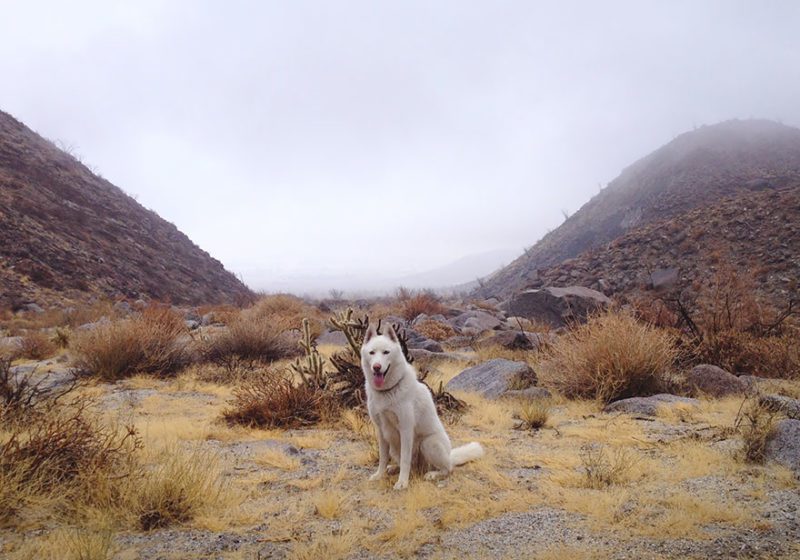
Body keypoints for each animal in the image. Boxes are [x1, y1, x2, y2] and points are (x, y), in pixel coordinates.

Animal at [360, 322, 484, 488]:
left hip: (428, 443)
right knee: (408, 464)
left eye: (386, 352)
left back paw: (433, 474)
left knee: (447, 468)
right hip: (395, 447)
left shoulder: (406, 429)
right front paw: (380, 475)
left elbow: (405, 460)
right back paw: (393, 468)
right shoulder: (381, 430)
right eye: (372, 353)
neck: (387, 391)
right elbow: (383, 458)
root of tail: (450, 455)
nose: (377, 367)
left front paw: (402, 482)